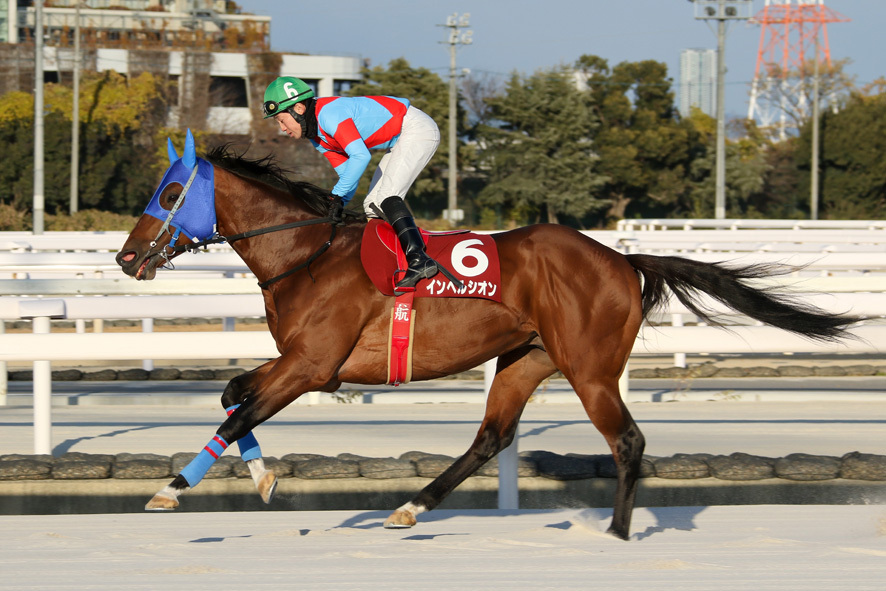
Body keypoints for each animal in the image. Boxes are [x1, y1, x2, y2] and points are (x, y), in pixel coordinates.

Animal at [116, 133, 860, 540]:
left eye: (171, 193)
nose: (126, 258)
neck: (305, 253)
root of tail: (622, 260)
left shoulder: (312, 364)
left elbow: (239, 407)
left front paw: (170, 489)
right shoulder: (299, 363)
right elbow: (233, 396)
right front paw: (264, 478)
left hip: (588, 366)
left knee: (626, 441)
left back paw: (617, 535)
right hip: (525, 359)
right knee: (492, 437)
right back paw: (410, 508)